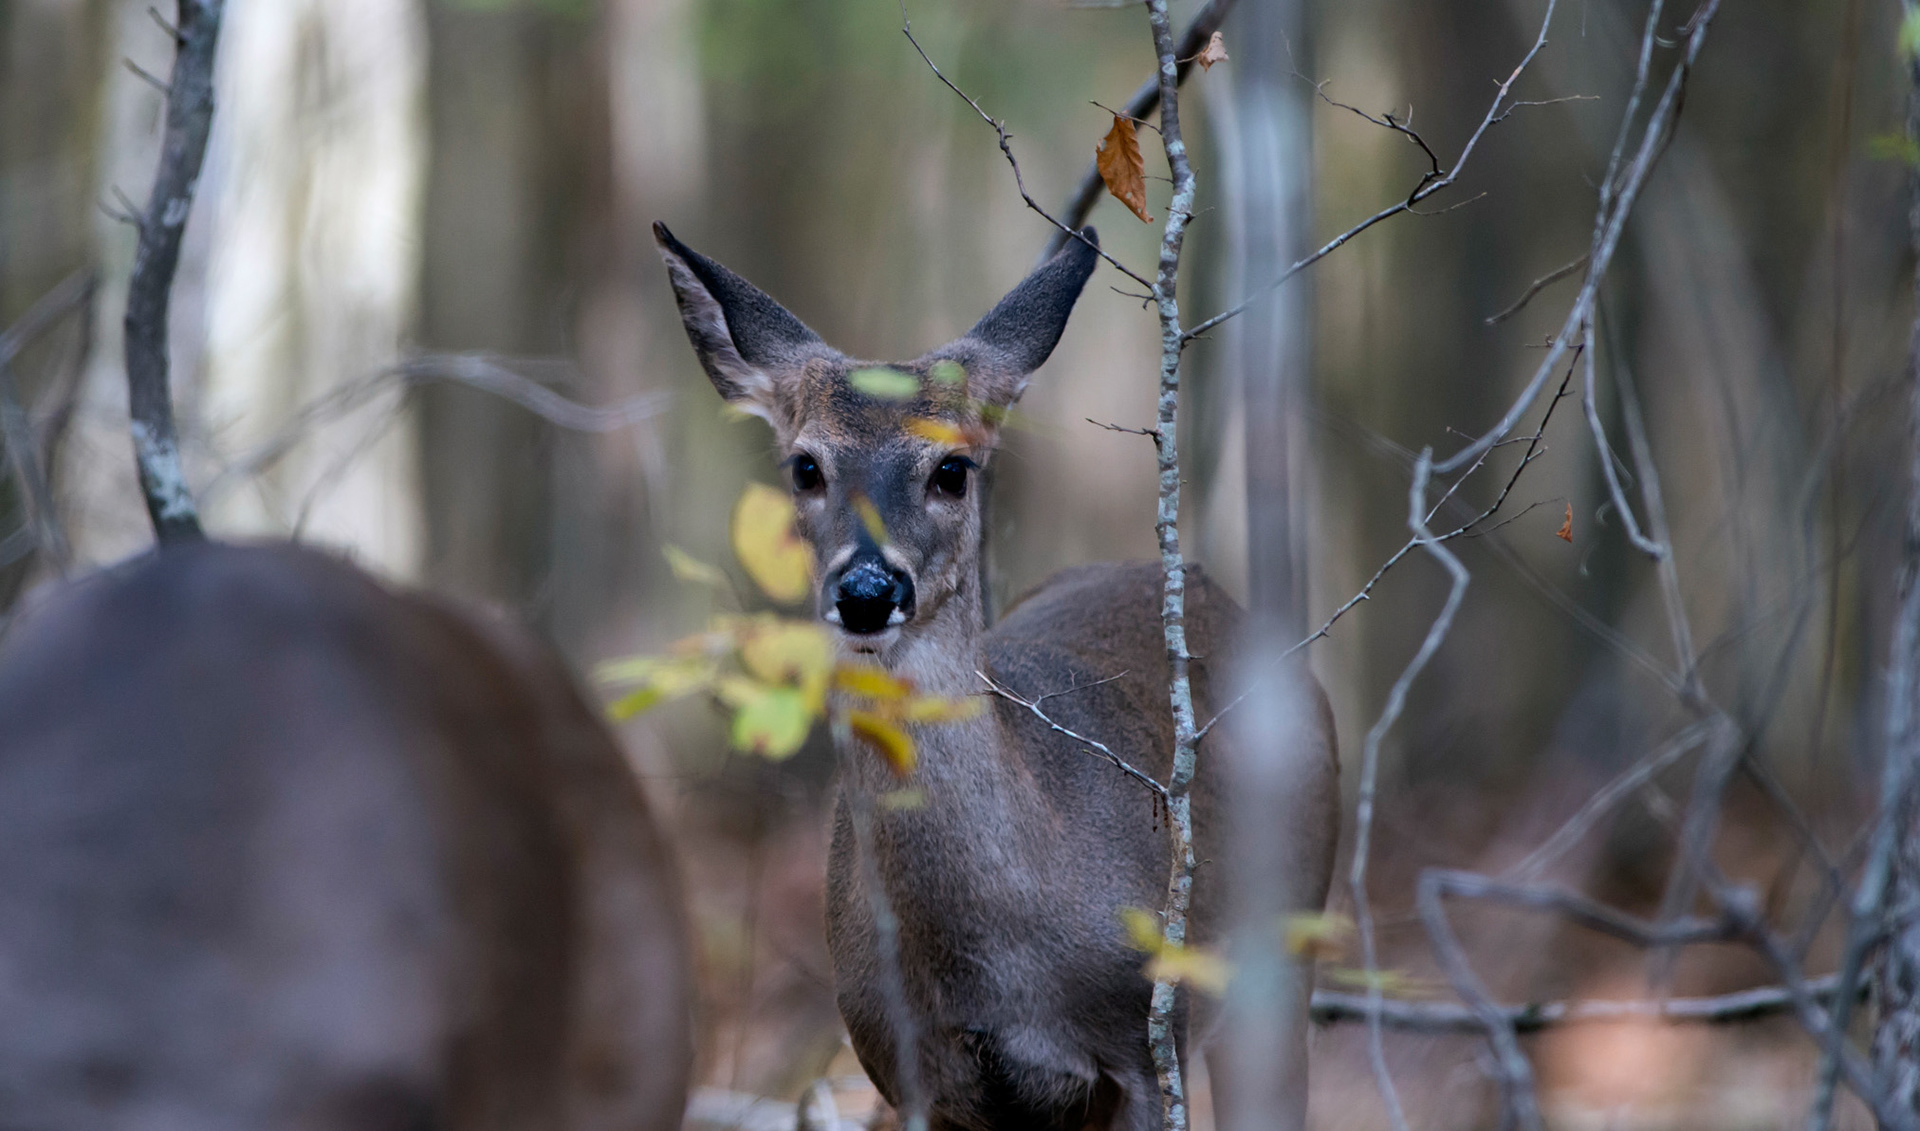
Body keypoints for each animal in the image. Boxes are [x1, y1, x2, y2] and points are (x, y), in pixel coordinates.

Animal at [655, 221, 1340, 1131]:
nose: (867, 590)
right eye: (805, 466)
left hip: (1286, 945)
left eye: (953, 468)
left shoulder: (1146, 1041)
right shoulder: (902, 1070)